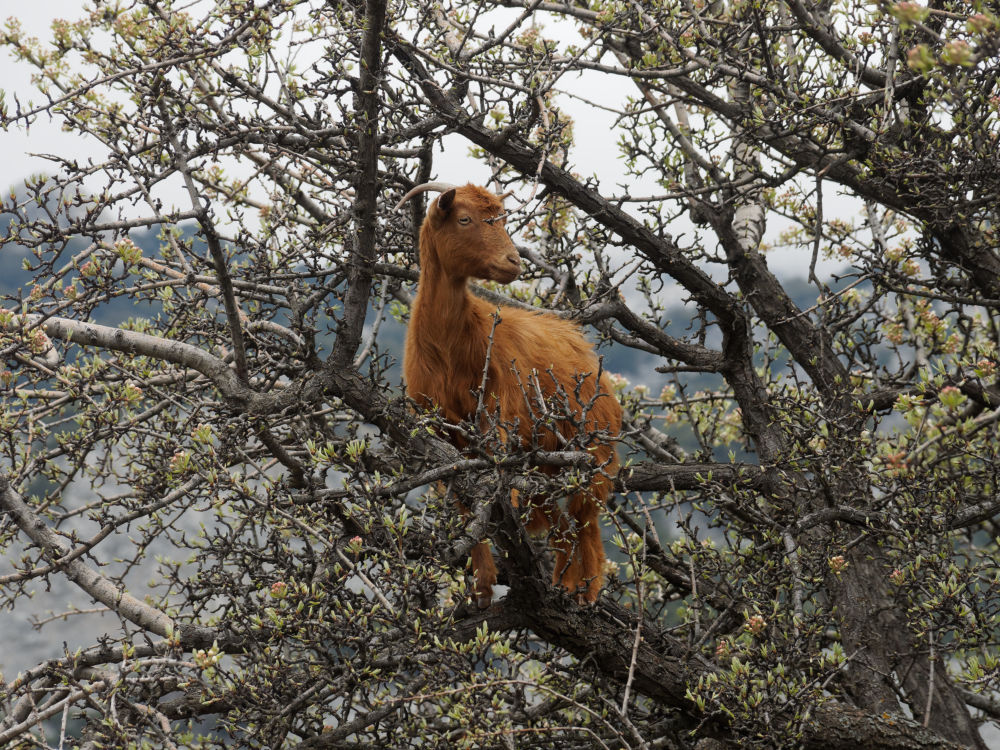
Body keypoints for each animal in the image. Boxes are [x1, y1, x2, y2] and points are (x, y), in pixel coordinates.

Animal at [396, 185, 616, 608]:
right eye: (464, 219)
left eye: (502, 218)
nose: (513, 262)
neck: (449, 345)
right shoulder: (442, 434)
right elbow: (466, 507)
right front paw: (481, 589)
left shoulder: (502, 411)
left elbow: (497, 474)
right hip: (547, 462)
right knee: (561, 524)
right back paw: (564, 584)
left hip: (594, 451)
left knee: (586, 519)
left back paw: (588, 590)